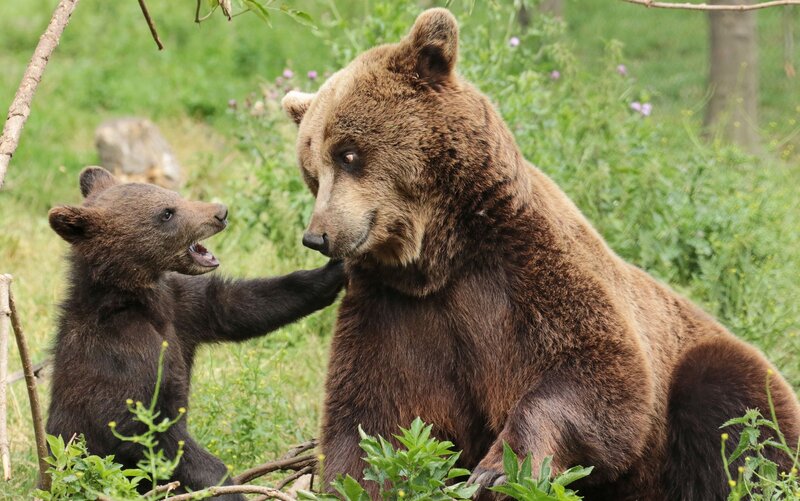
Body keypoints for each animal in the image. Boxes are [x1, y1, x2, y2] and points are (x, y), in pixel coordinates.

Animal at [46, 167, 344, 500]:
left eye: (176, 195)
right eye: (166, 213)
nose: (220, 212)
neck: (136, 298)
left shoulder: (180, 307)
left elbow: (234, 304)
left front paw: (332, 270)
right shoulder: (118, 353)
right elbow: (138, 427)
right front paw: (225, 485)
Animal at [281, 8, 800, 501]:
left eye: (348, 154)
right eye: (312, 171)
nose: (317, 236)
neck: (440, 257)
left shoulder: (528, 271)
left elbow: (599, 374)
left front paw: (498, 468)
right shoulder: (398, 314)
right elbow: (373, 421)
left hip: (705, 372)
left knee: (739, 414)